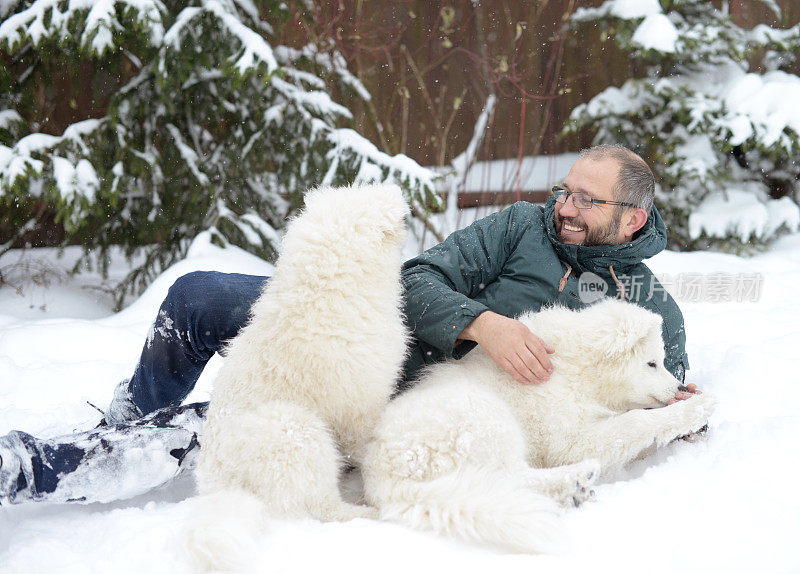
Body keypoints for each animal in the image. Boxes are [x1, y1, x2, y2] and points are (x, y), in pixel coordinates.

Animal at [185, 187, 410, 572]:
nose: (396, 192)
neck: (326, 297)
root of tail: (224, 486)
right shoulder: (360, 408)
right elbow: (367, 447)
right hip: (299, 431)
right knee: (320, 507)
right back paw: (367, 514)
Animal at [362, 300, 720, 556]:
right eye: (651, 364)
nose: (679, 388)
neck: (577, 369)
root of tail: (384, 480)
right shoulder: (568, 438)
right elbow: (634, 422)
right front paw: (697, 408)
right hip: (483, 417)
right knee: (511, 478)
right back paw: (577, 478)